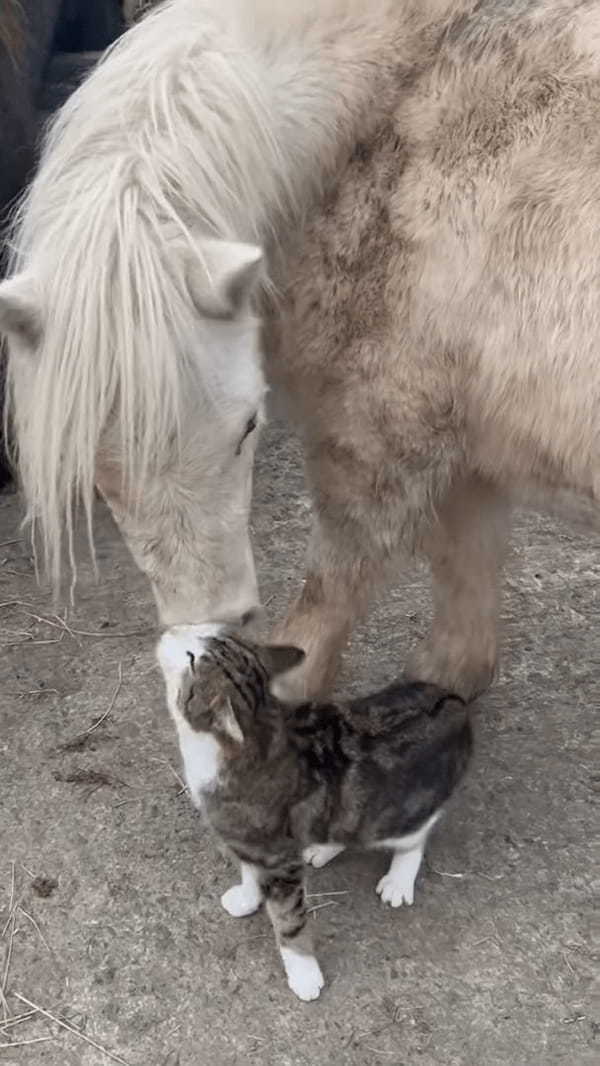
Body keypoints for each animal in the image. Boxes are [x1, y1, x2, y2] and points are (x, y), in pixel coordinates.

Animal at [157, 622, 471, 1002]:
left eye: (192, 659)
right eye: (205, 631)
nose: (174, 628)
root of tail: (452, 699)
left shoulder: (279, 859)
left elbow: (288, 920)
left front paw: (304, 972)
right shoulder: (248, 838)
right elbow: (248, 870)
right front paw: (247, 897)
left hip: (401, 813)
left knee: (415, 834)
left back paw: (399, 877)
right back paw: (324, 847)